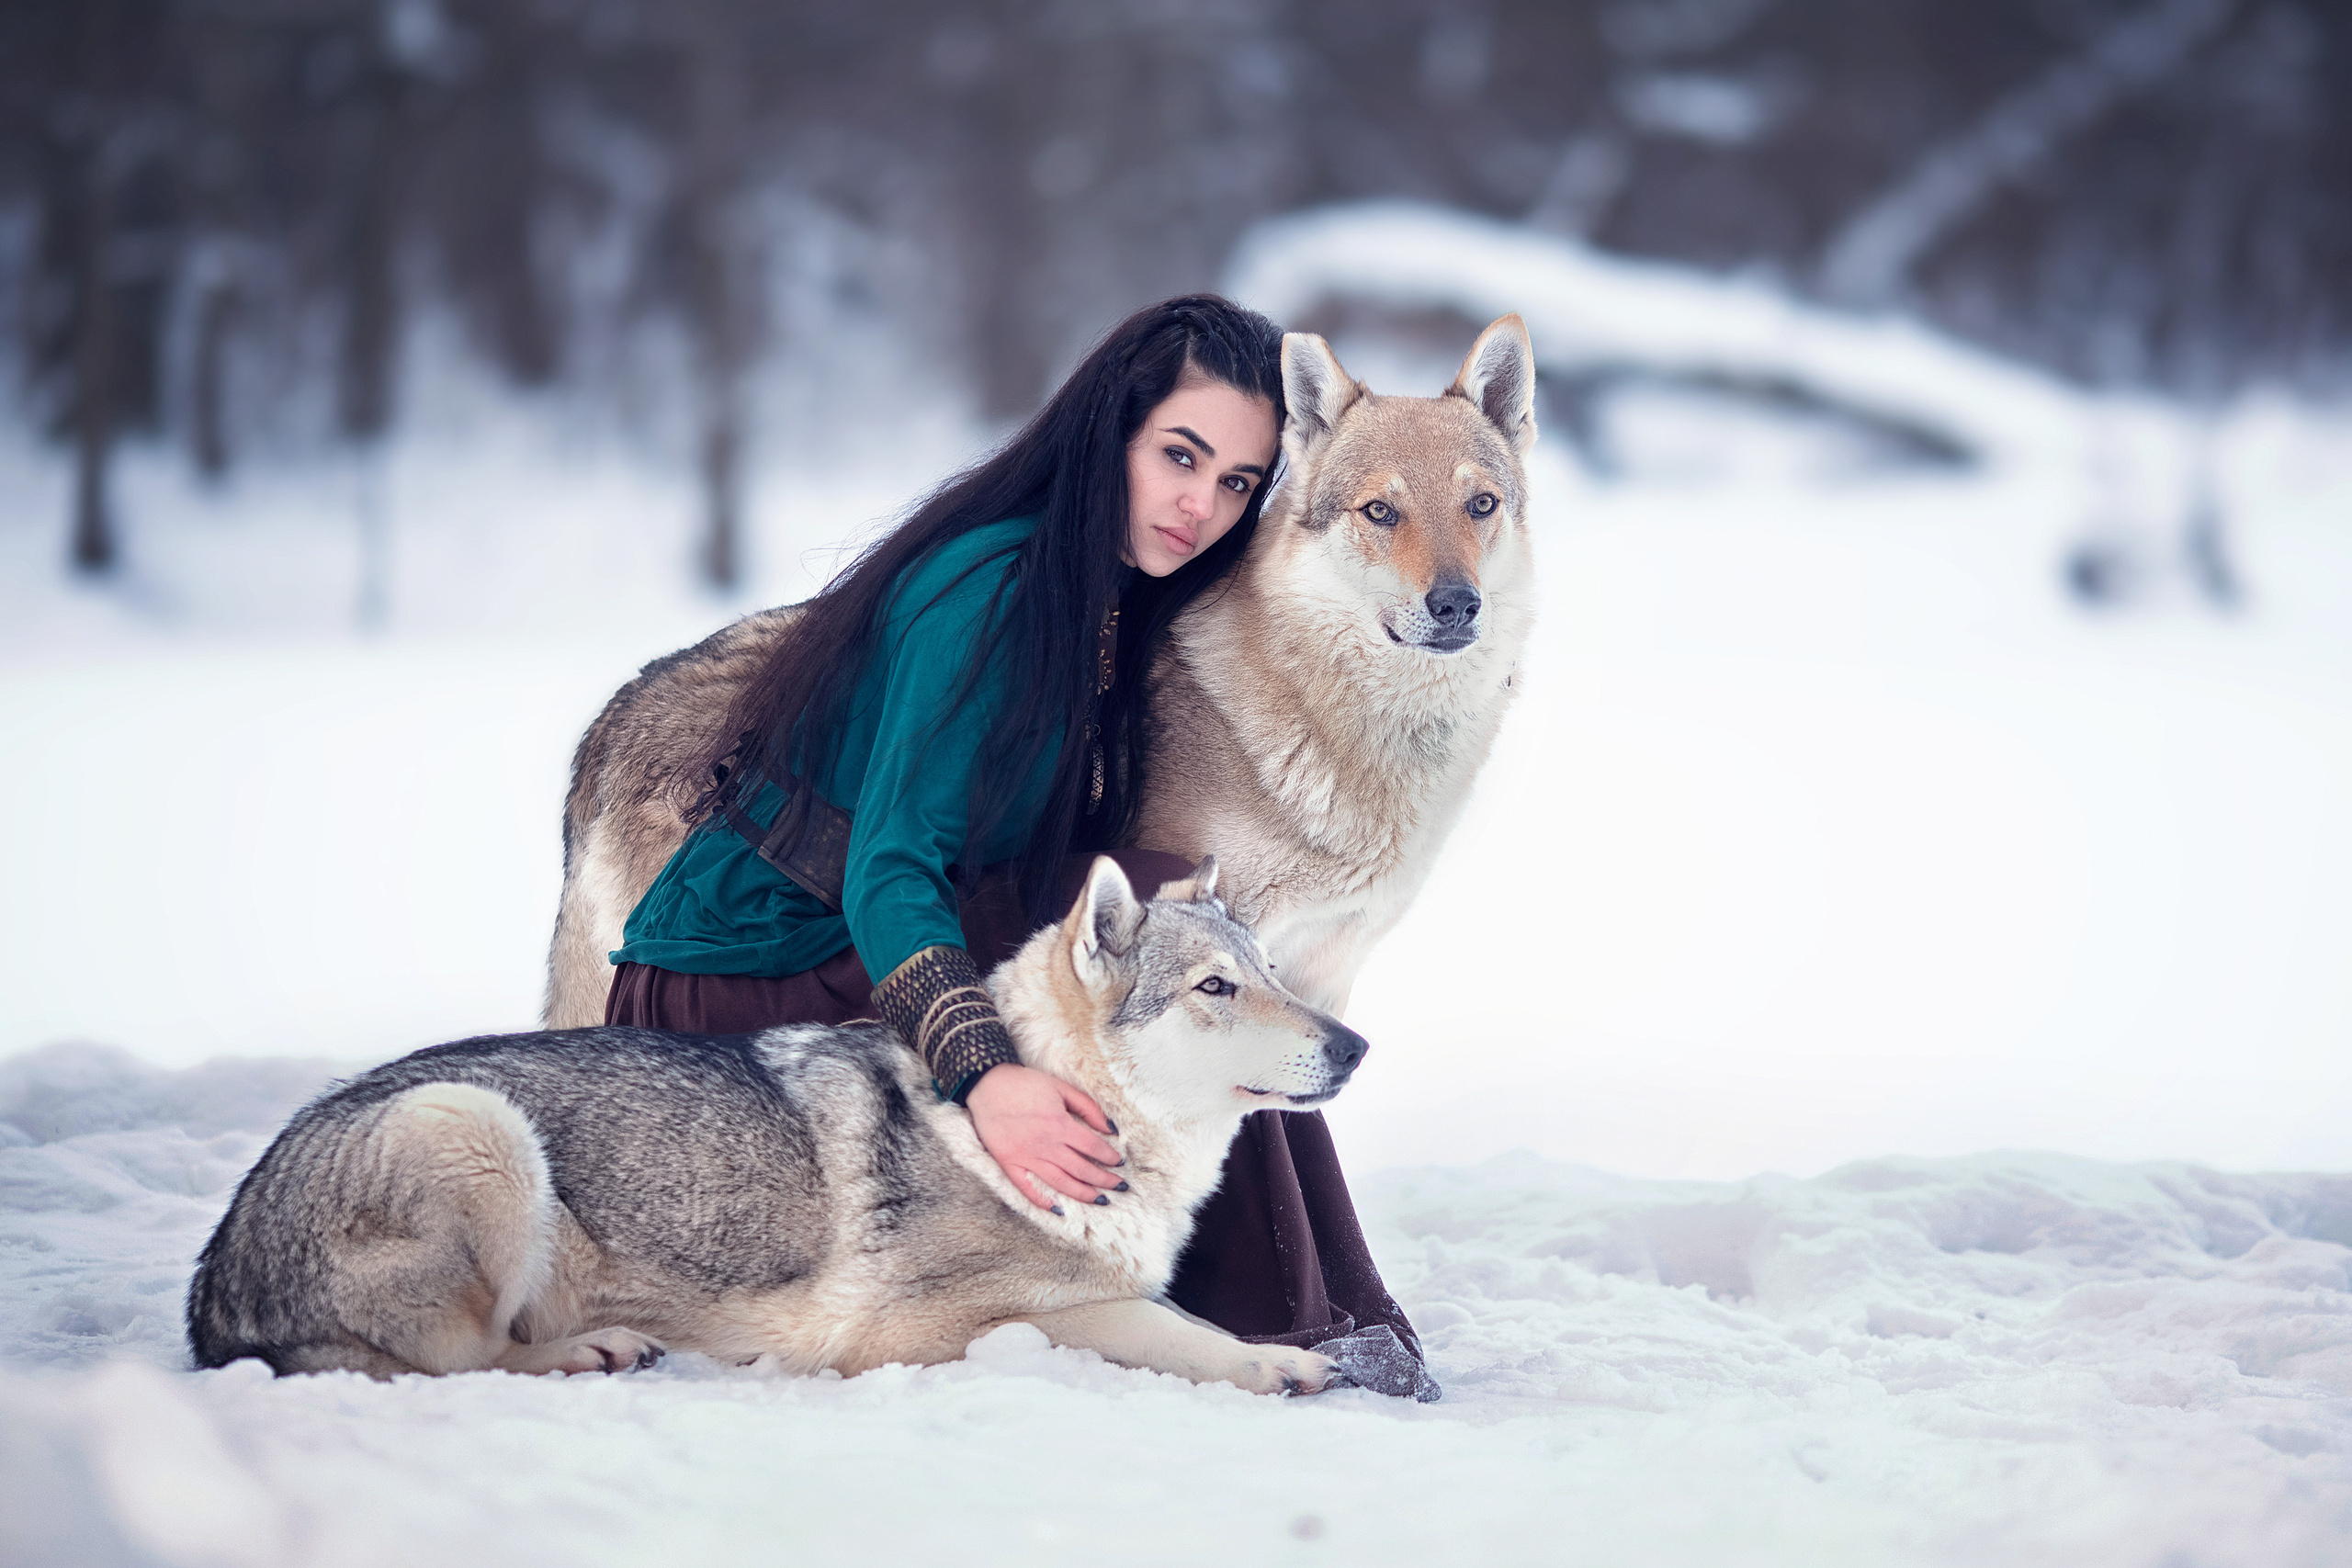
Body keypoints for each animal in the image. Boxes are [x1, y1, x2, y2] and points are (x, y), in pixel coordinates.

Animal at [187, 858, 1362, 1394]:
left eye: (1269, 974)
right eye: (1215, 988)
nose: (1355, 1046)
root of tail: (212, 1281)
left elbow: (1173, 1314)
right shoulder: (924, 1332)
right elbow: (1146, 1326)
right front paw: (1278, 1365)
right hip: (478, 1130)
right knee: (461, 1361)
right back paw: (591, 1351)